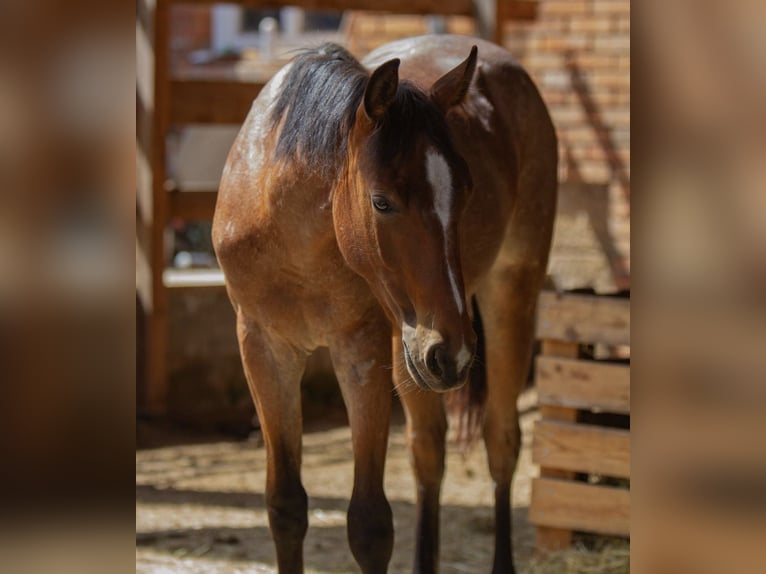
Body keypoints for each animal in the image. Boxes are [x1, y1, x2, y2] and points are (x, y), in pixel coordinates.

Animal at [212, 34, 557, 574]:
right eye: (382, 202)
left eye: (467, 193)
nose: (456, 351)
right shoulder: (264, 350)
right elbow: (285, 506)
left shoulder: (362, 352)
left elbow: (370, 524)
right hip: (415, 354)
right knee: (428, 451)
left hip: (504, 296)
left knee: (501, 441)